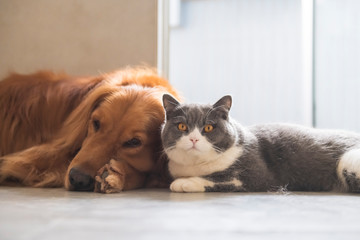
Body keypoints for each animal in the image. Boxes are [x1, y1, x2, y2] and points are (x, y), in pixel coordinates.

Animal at [162, 94, 360, 193]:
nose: (194, 139)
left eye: (209, 127)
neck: (195, 166)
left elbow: (218, 179)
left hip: (347, 161)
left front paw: (184, 183)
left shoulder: (256, 174)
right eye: (182, 126)